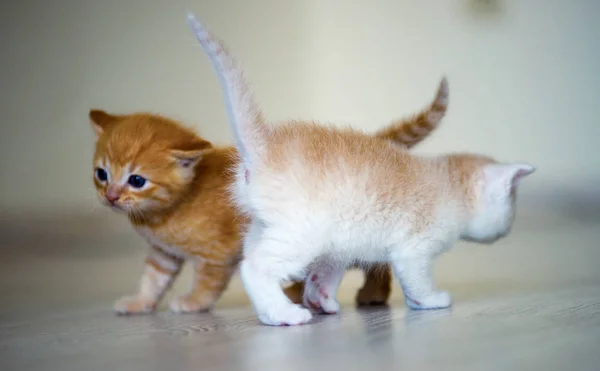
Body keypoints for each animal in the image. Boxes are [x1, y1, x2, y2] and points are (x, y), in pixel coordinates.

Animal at [88, 66, 446, 314]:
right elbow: (153, 280)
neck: (161, 217)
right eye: (101, 174)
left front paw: (193, 302)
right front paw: (139, 303)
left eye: (136, 180)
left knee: (374, 260)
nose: (111, 196)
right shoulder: (162, 254)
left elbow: (207, 282)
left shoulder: (216, 256)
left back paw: (371, 295)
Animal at [186, 12, 536, 326]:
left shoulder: (337, 248)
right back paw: (284, 315)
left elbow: (324, 274)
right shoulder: (414, 249)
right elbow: (417, 280)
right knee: (255, 268)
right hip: (301, 233)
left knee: (249, 257)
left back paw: (271, 311)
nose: (508, 229)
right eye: (511, 209)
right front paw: (430, 301)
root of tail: (267, 145)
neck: (448, 183)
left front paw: (322, 299)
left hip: (267, 226)